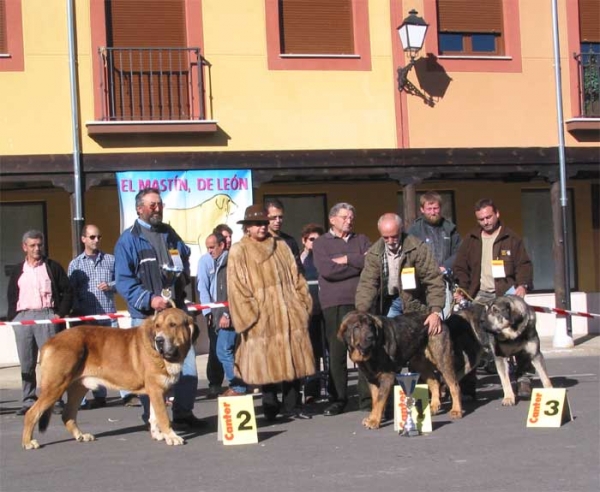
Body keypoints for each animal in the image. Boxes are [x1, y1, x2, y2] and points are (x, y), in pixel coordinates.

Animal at [21, 308, 198, 450]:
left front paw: (158, 435)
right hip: (56, 386)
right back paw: (28, 442)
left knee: (68, 415)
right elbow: (163, 417)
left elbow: (154, 416)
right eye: (158, 326)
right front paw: (172, 437)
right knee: (32, 413)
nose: (159, 340)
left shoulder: (157, 392)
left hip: (78, 388)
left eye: (173, 325)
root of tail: (49, 342)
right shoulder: (156, 390)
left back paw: (81, 436)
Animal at [338, 314, 482, 428]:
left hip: (442, 359)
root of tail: (440, 319)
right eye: (356, 327)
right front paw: (374, 417)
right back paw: (434, 406)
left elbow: (379, 400)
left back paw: (456, 410)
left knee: (454, 386)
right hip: (418, 363)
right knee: (434, 382)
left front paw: (373, 421)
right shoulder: (372, 379)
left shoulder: (387, 376)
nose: (371, 337)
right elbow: (375, 400)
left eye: (370, 326)